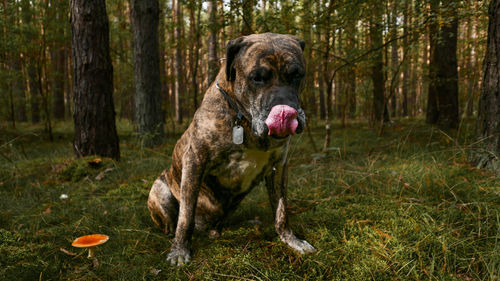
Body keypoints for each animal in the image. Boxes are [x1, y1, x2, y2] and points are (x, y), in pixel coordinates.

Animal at [146, 32, 316, 264]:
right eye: (257, 78)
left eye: (297, 75)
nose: (285, 110)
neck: (243, 120)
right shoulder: (195, 160)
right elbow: (186, 214)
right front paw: (179, 249)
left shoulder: (279, 166)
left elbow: (281, 210)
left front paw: (291, 240)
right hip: (160, 189)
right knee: (173, 220)